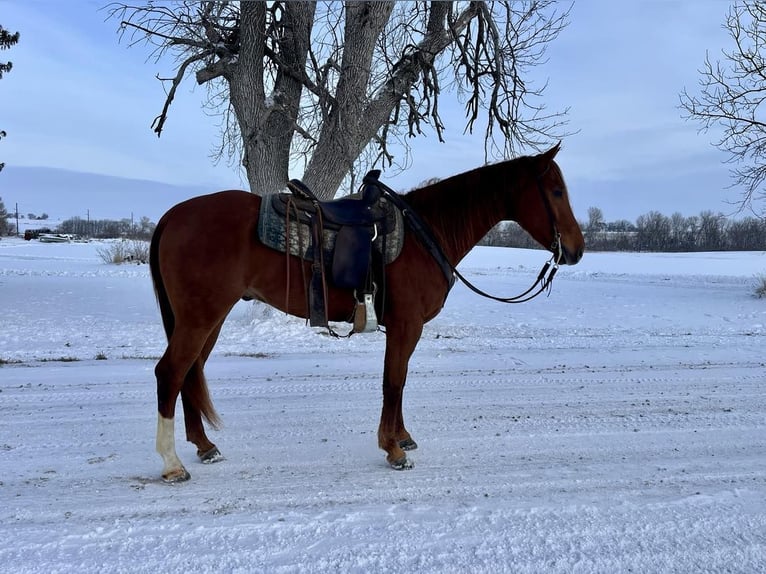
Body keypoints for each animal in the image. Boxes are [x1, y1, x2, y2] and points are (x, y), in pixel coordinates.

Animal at [150, 144, 584, 482]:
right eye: (556, 191)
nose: (576, 249)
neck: (426, 234)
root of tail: (173, 215)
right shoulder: (406, 326)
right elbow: (393, 382)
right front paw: (393, 449)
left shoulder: (406, 329)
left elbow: (400, 382)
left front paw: (402, 437)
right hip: (201, 317)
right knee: (171, 372)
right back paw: (172, 464)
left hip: (208, 319)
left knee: (190, 372)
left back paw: (205, 446)